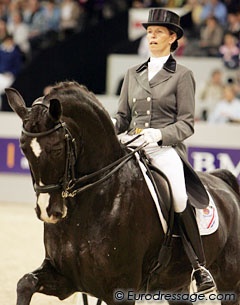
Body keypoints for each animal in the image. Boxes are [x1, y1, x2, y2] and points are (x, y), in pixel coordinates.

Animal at [5, 81, 240, 304]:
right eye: (23, 149)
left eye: (56, 149)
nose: (47, 211)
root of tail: (223, 181)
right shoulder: (65, 278)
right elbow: (25, 282)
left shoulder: (120, 290)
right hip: (174, 285)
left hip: (228, 280)